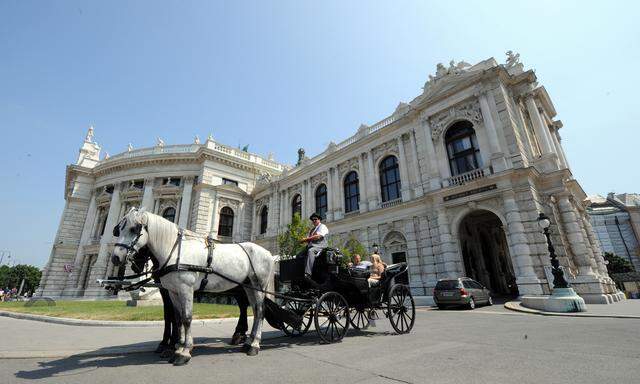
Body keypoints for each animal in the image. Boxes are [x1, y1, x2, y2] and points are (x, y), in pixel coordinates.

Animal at [112, 208, 276, 364]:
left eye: (134, 229)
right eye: (119, 229)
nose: (115, 258)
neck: (176, 253)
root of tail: (268, 253)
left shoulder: (186, 289)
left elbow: (187, 318)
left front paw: (184, 351)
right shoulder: (172, 291)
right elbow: (177, 318)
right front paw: (178, 346)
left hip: (259, 286)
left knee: (260, 311)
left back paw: (254, 344)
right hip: (248, 287)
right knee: (253, 310)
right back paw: (248, 341)